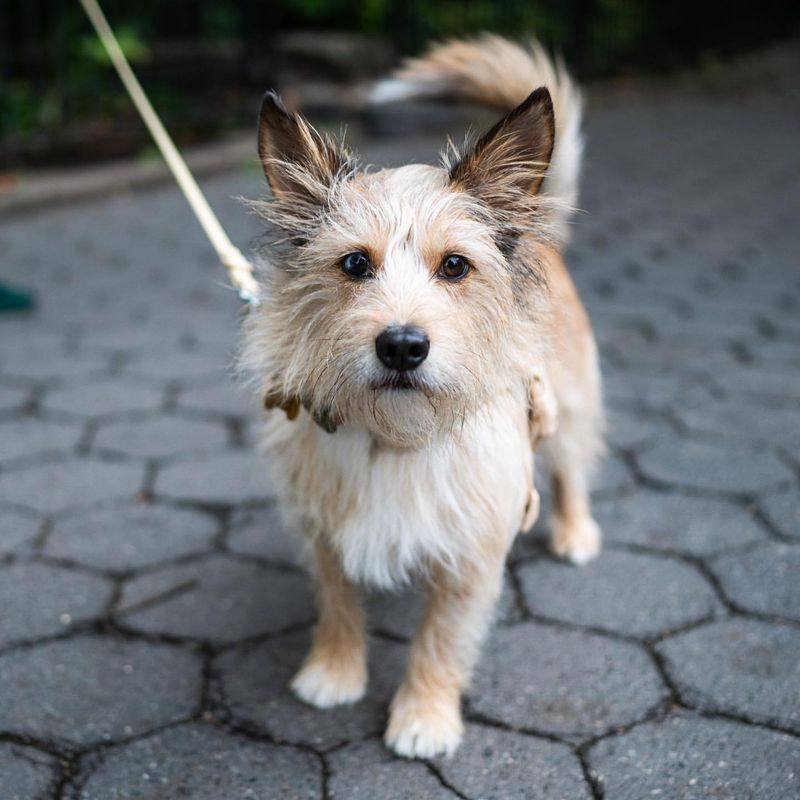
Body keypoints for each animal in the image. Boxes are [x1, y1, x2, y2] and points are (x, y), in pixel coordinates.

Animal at [241, 36, 604, 756]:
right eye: (355, 263)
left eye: (456, 266)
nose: (404, 346)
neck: (394, 436)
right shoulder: (323, 530)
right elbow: (337, 603)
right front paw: (333, 672)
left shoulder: (473, 555)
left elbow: (440, 639)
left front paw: (423, 716)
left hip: (570, 400)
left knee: (572, 463)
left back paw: (575, 530)